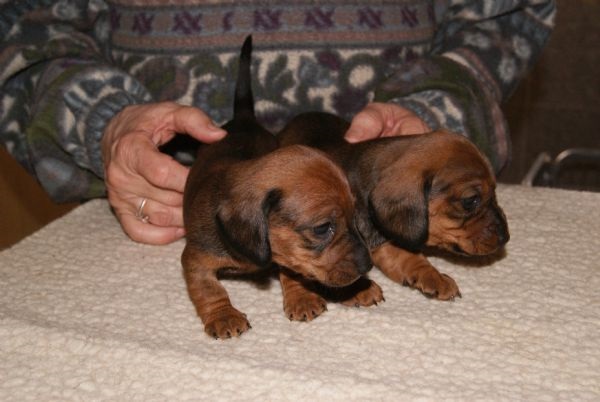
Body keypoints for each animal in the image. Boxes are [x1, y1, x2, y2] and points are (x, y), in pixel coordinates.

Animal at [182, 38, 377, 339]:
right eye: (323, 228)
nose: (367, 266)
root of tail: (244, 119)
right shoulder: (195, 258)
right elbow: (208, 289)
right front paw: (223, 315)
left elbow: (293, 270)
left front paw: (303, 297)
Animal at [278, 111, 509, 300]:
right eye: (470, 200)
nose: (505, 237)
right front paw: (356, 289)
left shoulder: (384, 242)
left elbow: (410, 257)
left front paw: (435, 277)